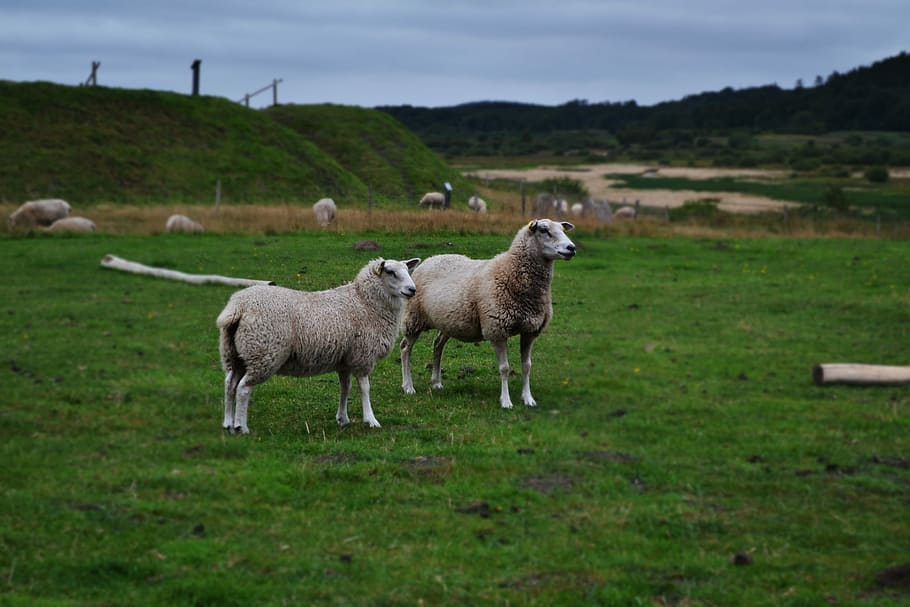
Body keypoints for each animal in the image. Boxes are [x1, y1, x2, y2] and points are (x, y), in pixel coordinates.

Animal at [217, 257, 421, 433]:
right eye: (391, 272)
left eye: (407, 269)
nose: (412, 290)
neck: (364, 301)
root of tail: (238, 308)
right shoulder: (362, 356)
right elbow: (365, 388)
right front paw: (370, 419)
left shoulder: (344, 360)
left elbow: (345, 388)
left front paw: (342, 418)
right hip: (262, 353)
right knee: (243, 389)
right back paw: (241, 427)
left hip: (236, 354)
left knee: (230, 384)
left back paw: (228, 424)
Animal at [400, 219, 576, 409]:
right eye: (543, 230)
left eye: (562, 229)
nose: (571, 248)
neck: (511, 272)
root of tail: (431, 258)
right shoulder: (496, 329)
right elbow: (504, 368)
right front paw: (506, 401)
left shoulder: (530, 330)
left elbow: (527, 365)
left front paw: (528, 398)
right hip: (413, 318)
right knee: (405, 348)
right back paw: (408, 386)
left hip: (448, 321)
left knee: (438, 344)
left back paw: (436, 382)